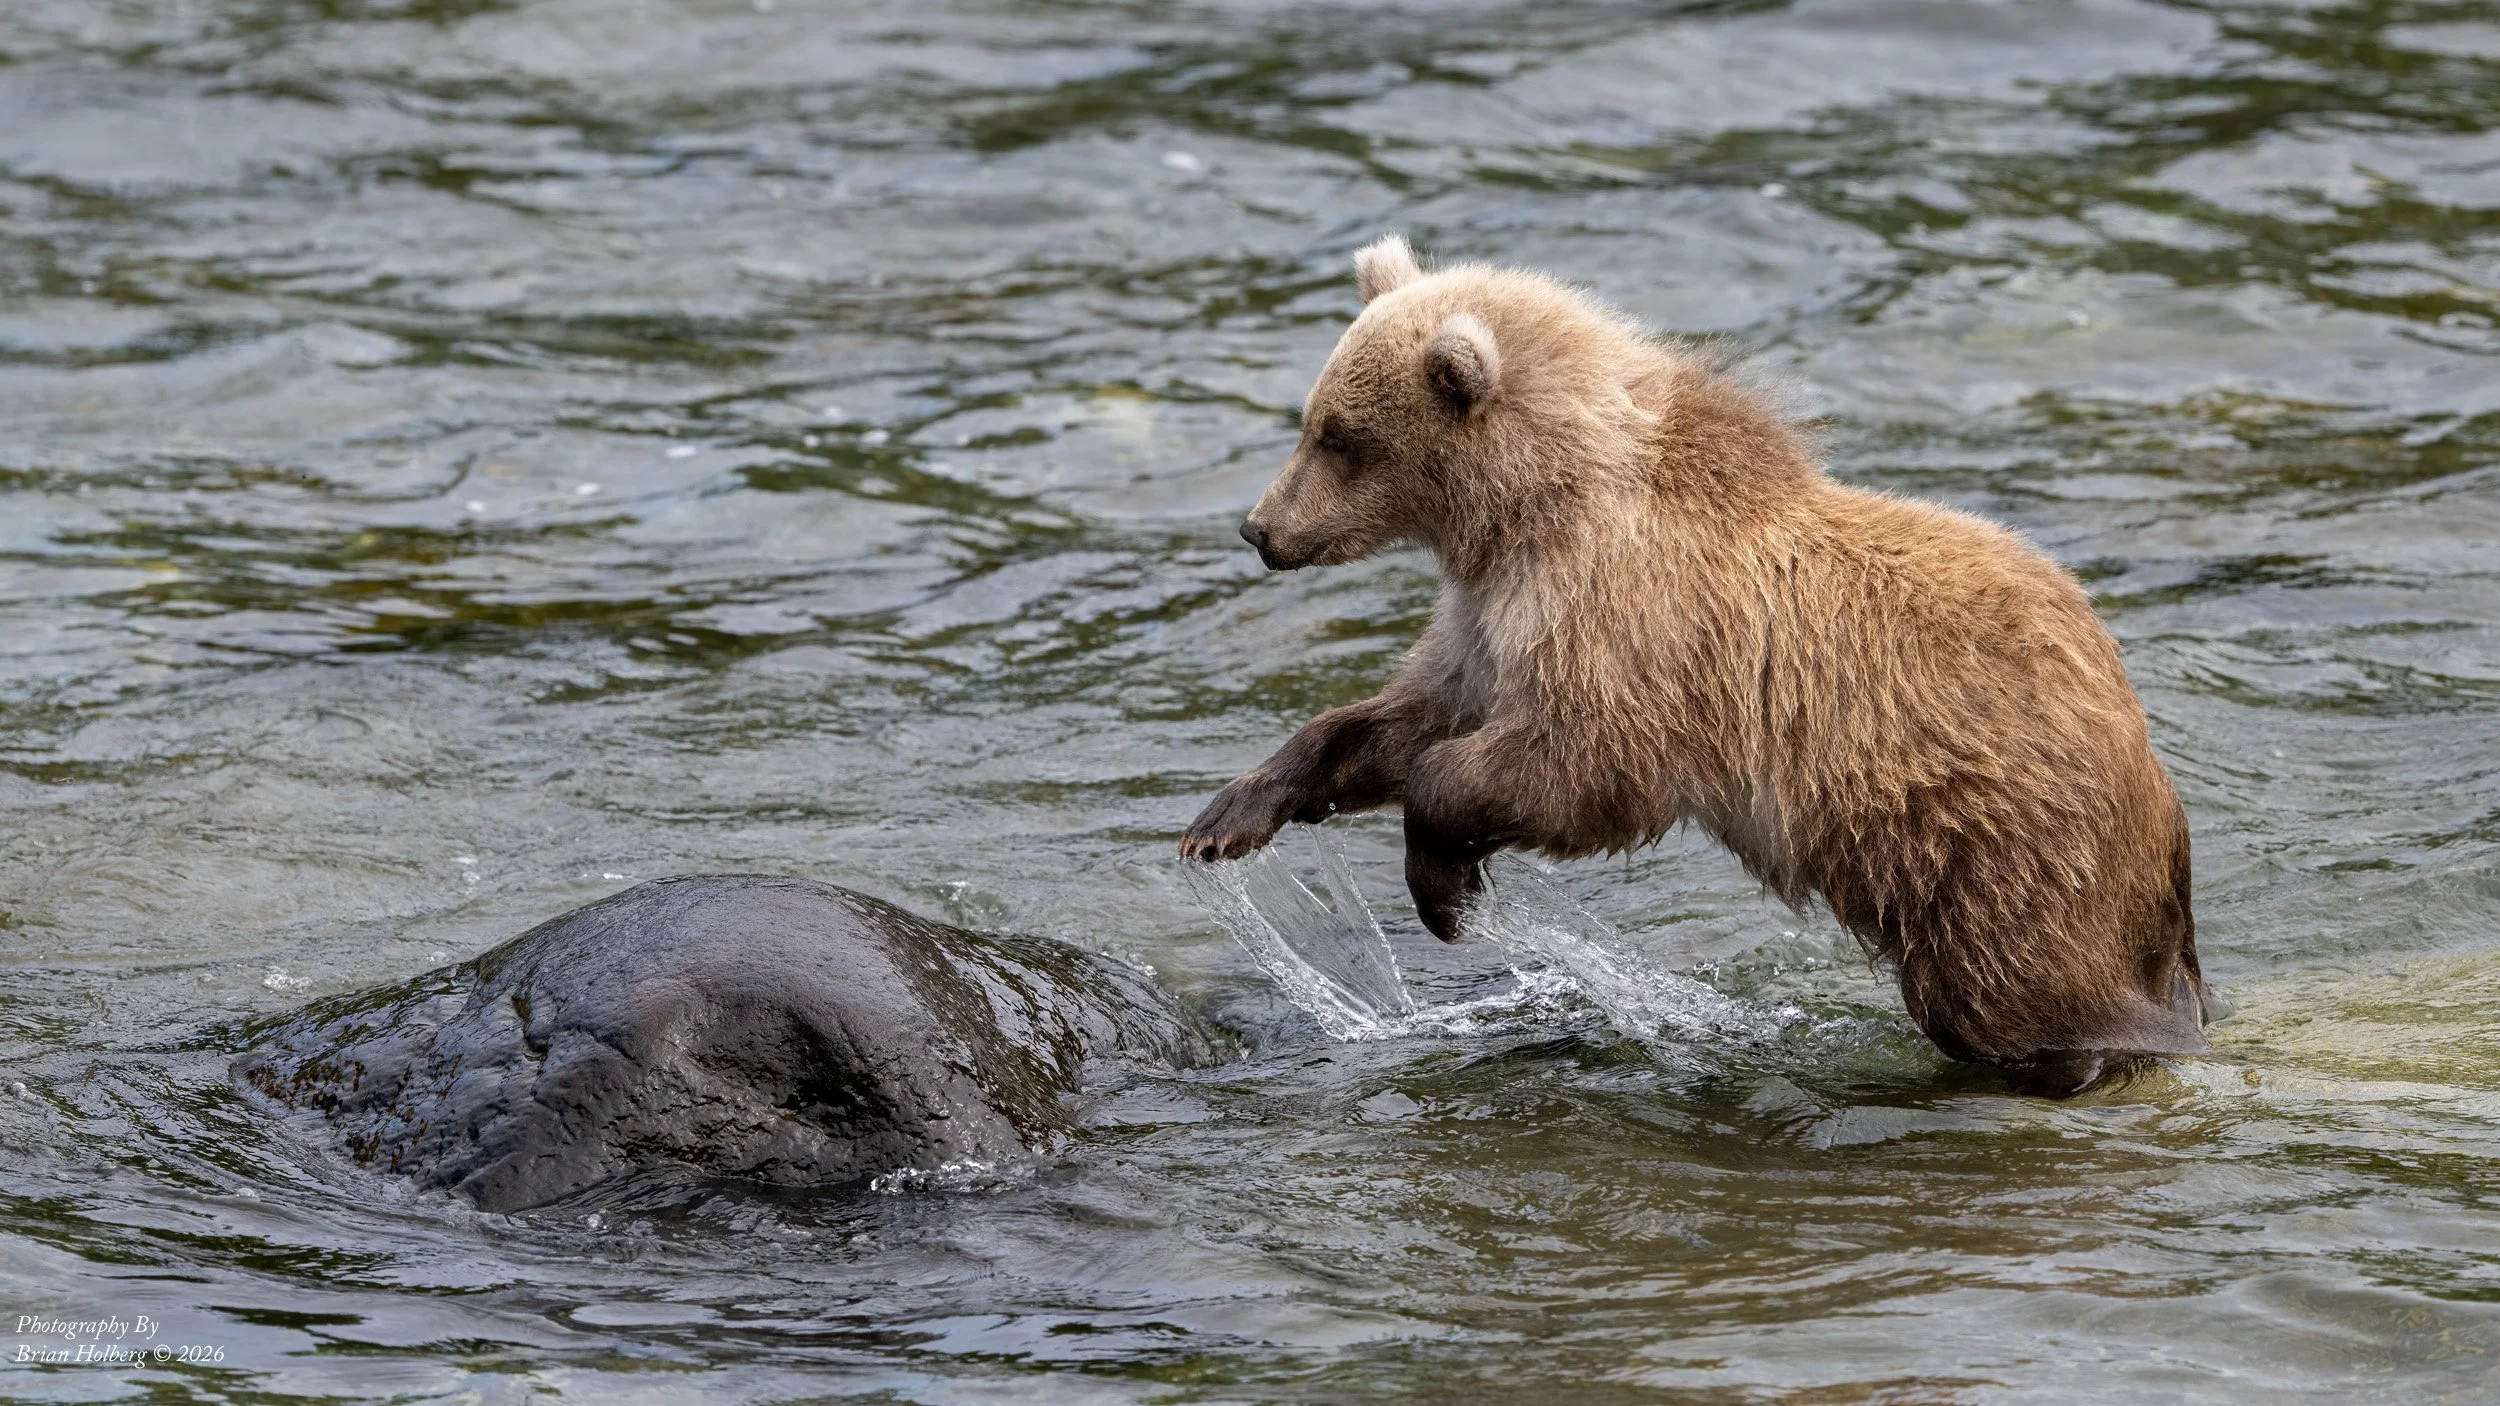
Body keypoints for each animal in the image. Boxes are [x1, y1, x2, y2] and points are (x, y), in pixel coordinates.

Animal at [1179, 235, 2211, 1095]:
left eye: (1340, 437)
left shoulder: (1629, 624)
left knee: (2013, 989)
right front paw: (1228, 817)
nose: (1261, 529)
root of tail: (2156, 785)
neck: (1527, 513)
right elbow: (1404, 719)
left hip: (1993, 838)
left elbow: (1576, 767)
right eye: (1312, 420)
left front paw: (1443, 887)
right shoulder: (1492, 627)